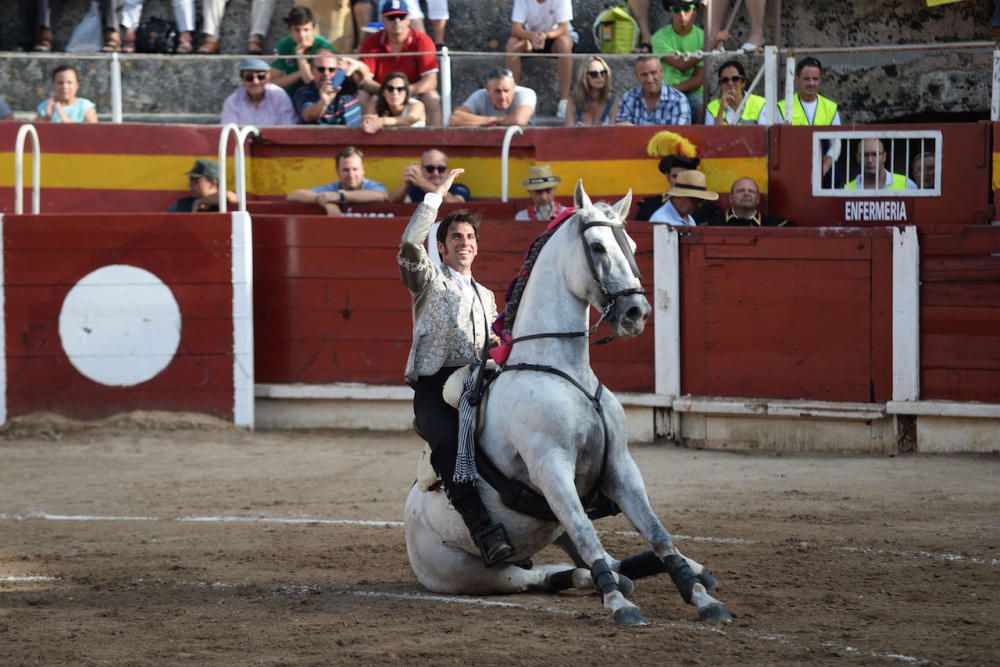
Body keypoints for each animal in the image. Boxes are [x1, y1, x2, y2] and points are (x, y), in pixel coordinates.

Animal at [400, 181, 736, 628]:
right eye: (596, 247)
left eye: (631, 244)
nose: (637, 311)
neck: (564, 368)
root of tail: (409, 524)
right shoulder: (552, 469)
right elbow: (588, 534)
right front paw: (620, 606)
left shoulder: (620, 466)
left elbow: (657, 531)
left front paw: (700, 596)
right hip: (473, 571)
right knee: (547, 573)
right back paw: (598, 581)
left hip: (550, 529)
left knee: (600, 559)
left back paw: (687, 570)